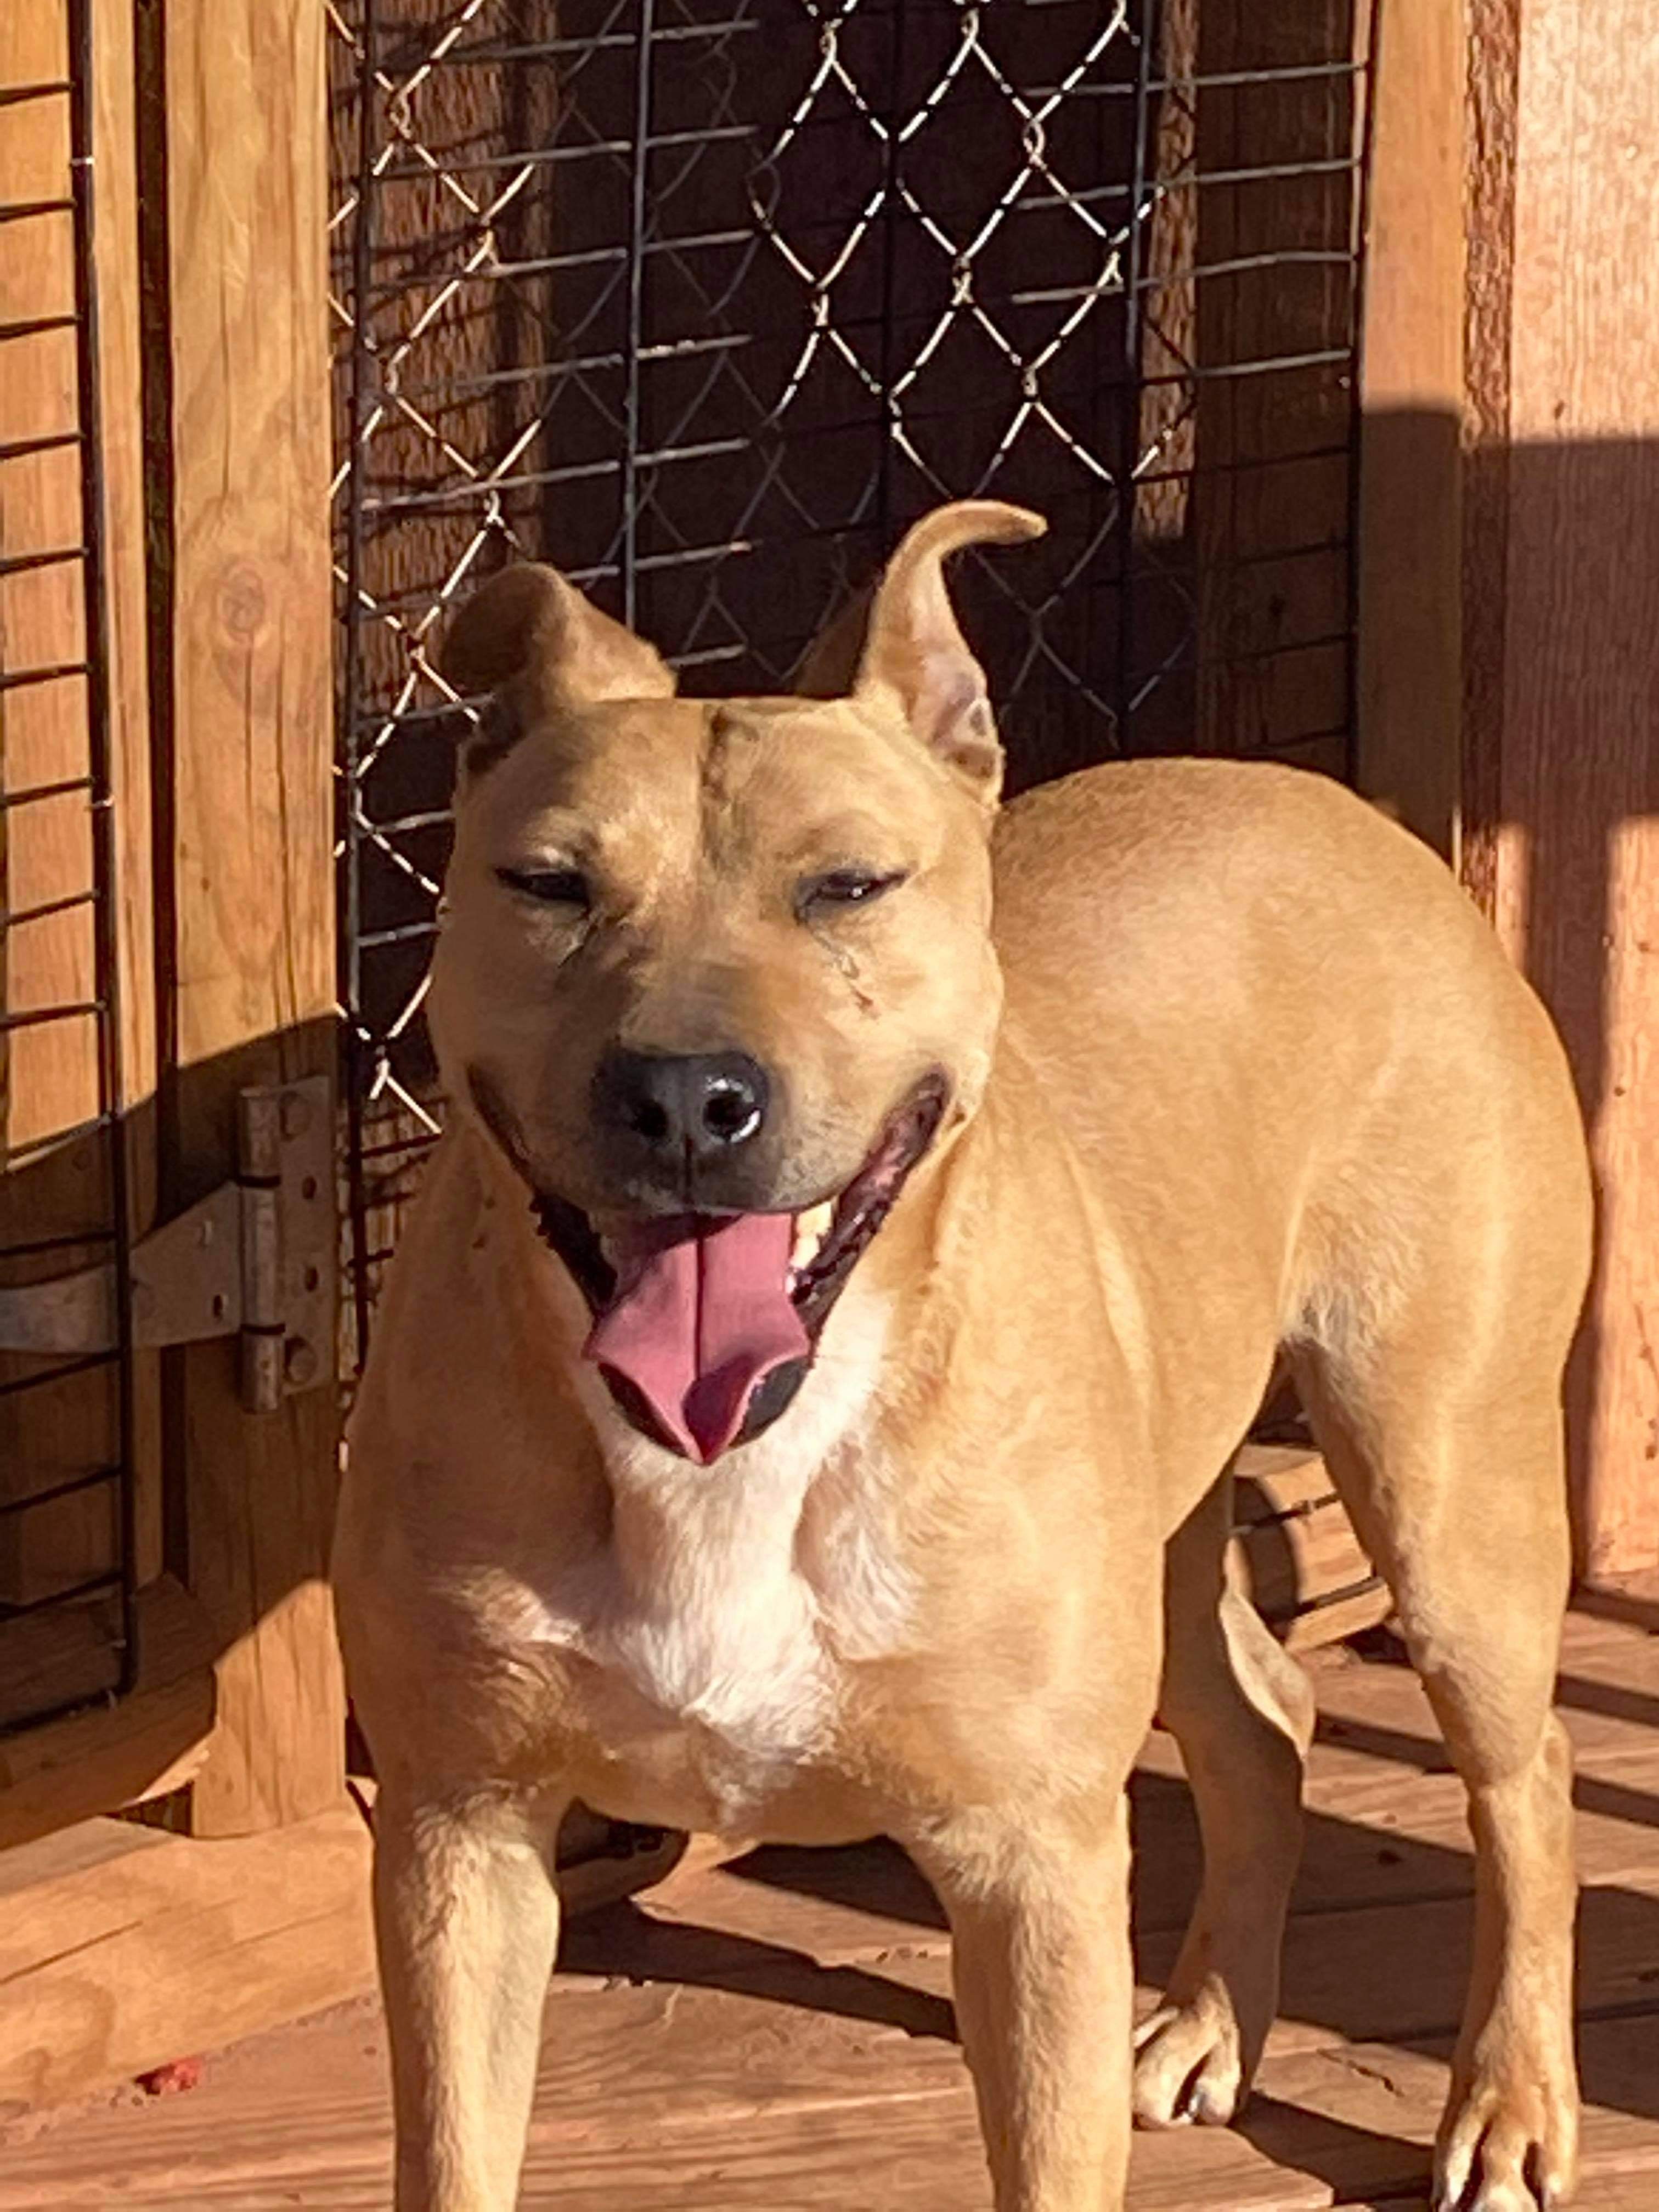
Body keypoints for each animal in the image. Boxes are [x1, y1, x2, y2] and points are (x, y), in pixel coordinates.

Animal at [338, 502, 1601, 2212]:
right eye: (546, 884)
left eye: (850, 886)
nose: (683, 1094)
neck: (736, 1449)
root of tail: (1343, 811)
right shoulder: (458, 1839)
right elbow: (457, 2151)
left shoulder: (1029, 1869)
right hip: (1173, 1519)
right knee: (1260, 1719)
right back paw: (1217, 2020)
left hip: (1446, 1479)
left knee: (1528, 1769)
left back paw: (1512, 2101)